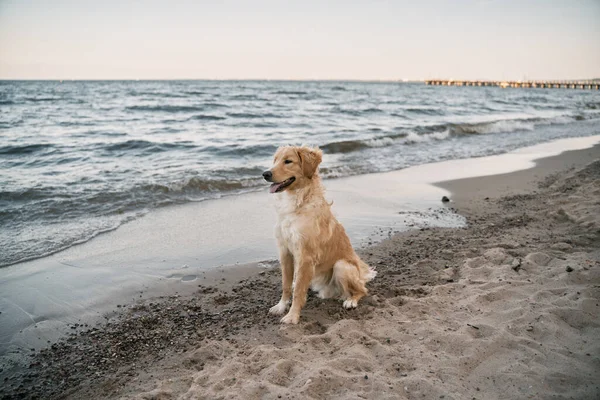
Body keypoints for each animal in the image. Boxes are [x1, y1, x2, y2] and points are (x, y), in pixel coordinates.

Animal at [262, 145, 376, 324]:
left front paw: (292, 316)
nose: (265, 174)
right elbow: (286, 284)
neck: (297, 202)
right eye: (275, 160)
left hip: (341, 266)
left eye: (288, 161)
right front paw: (281, 306)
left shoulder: (306, 256)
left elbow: (298, 291)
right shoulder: (285, 251)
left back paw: (351, 300)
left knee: (362, 290)